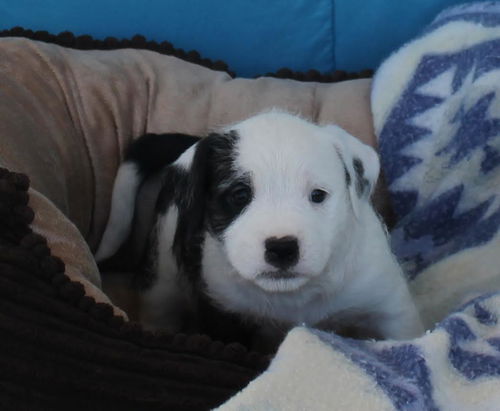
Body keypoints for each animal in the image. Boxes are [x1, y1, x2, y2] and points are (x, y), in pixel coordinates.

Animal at [95, 110, 424, 342]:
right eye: (239, 196)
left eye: (318, 195)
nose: (282, 247)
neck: (294, 296)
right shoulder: (223, 314)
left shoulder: (390, 308)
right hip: (161, 267)